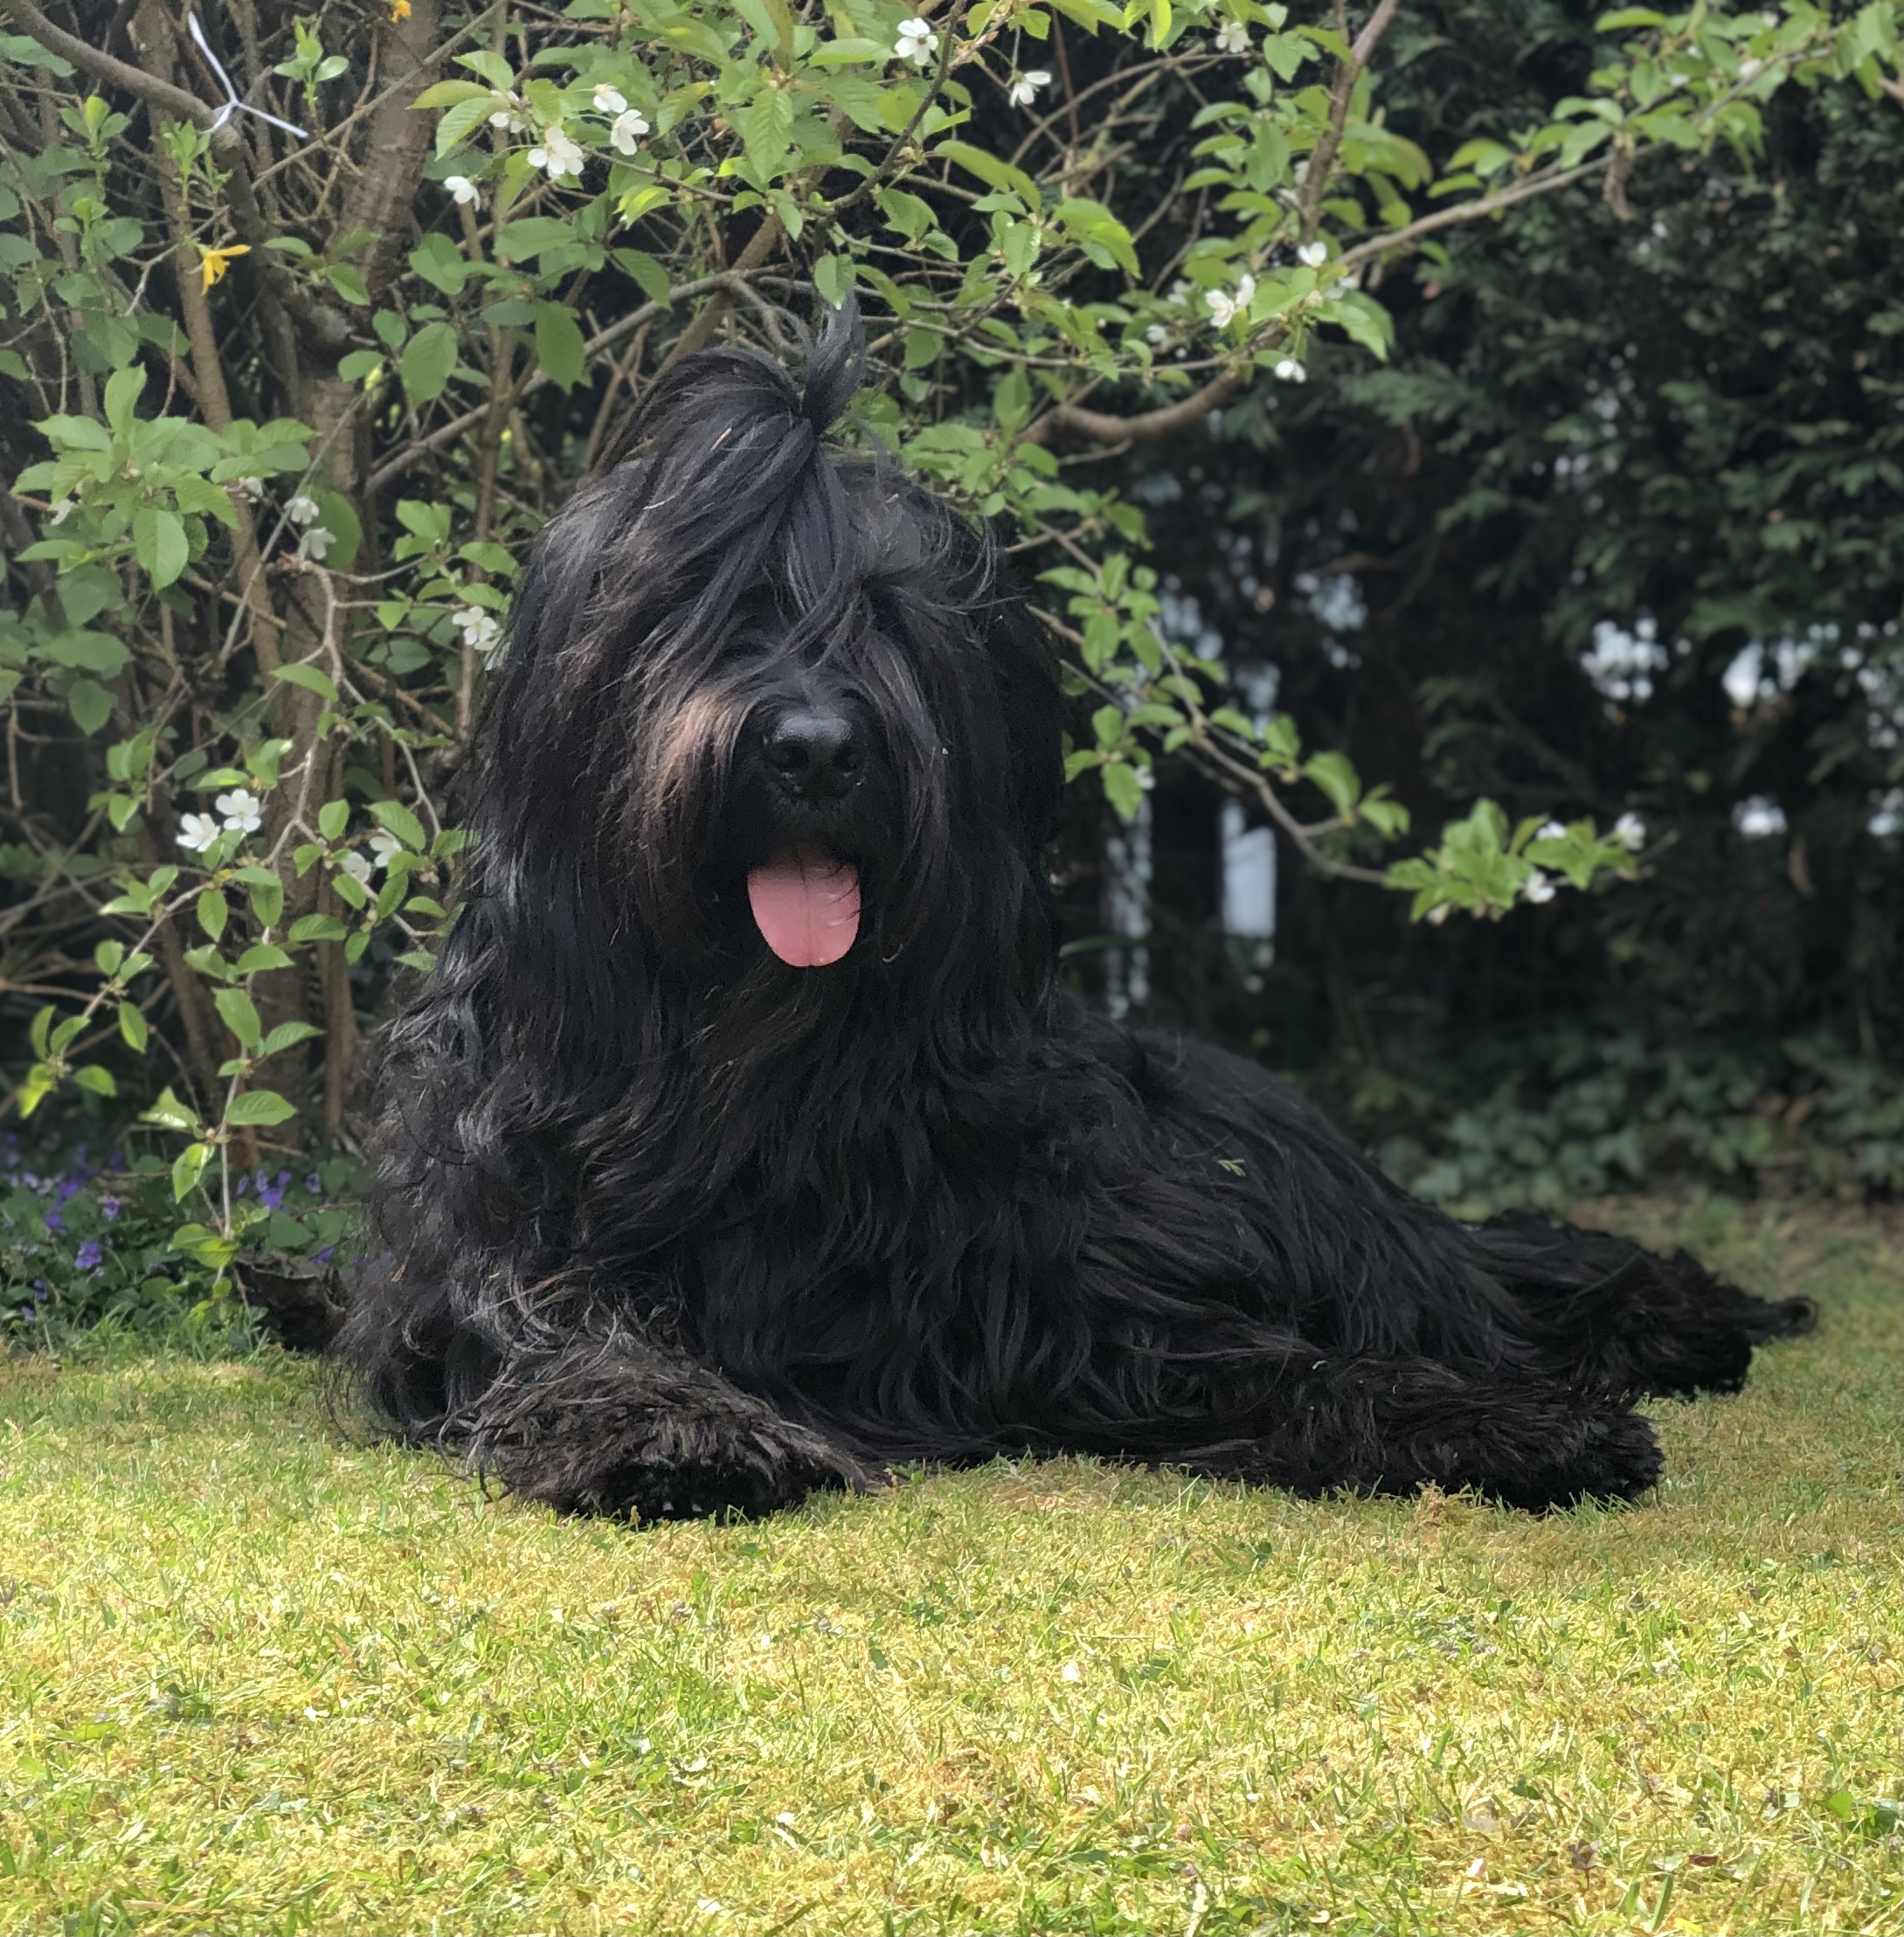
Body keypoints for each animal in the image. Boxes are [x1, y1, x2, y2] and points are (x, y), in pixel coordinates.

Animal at [337, 304, 1813, 1520]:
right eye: (709, 612)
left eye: (886, 623)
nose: (811, 749)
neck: (767, 1077)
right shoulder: (506, 1240)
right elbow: (571, 1337)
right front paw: (670, 1429)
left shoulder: (1099, 1288)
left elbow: (1288, 1363)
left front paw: (1510, 1424)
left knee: (1485, 1276)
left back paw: (1679, 1314)